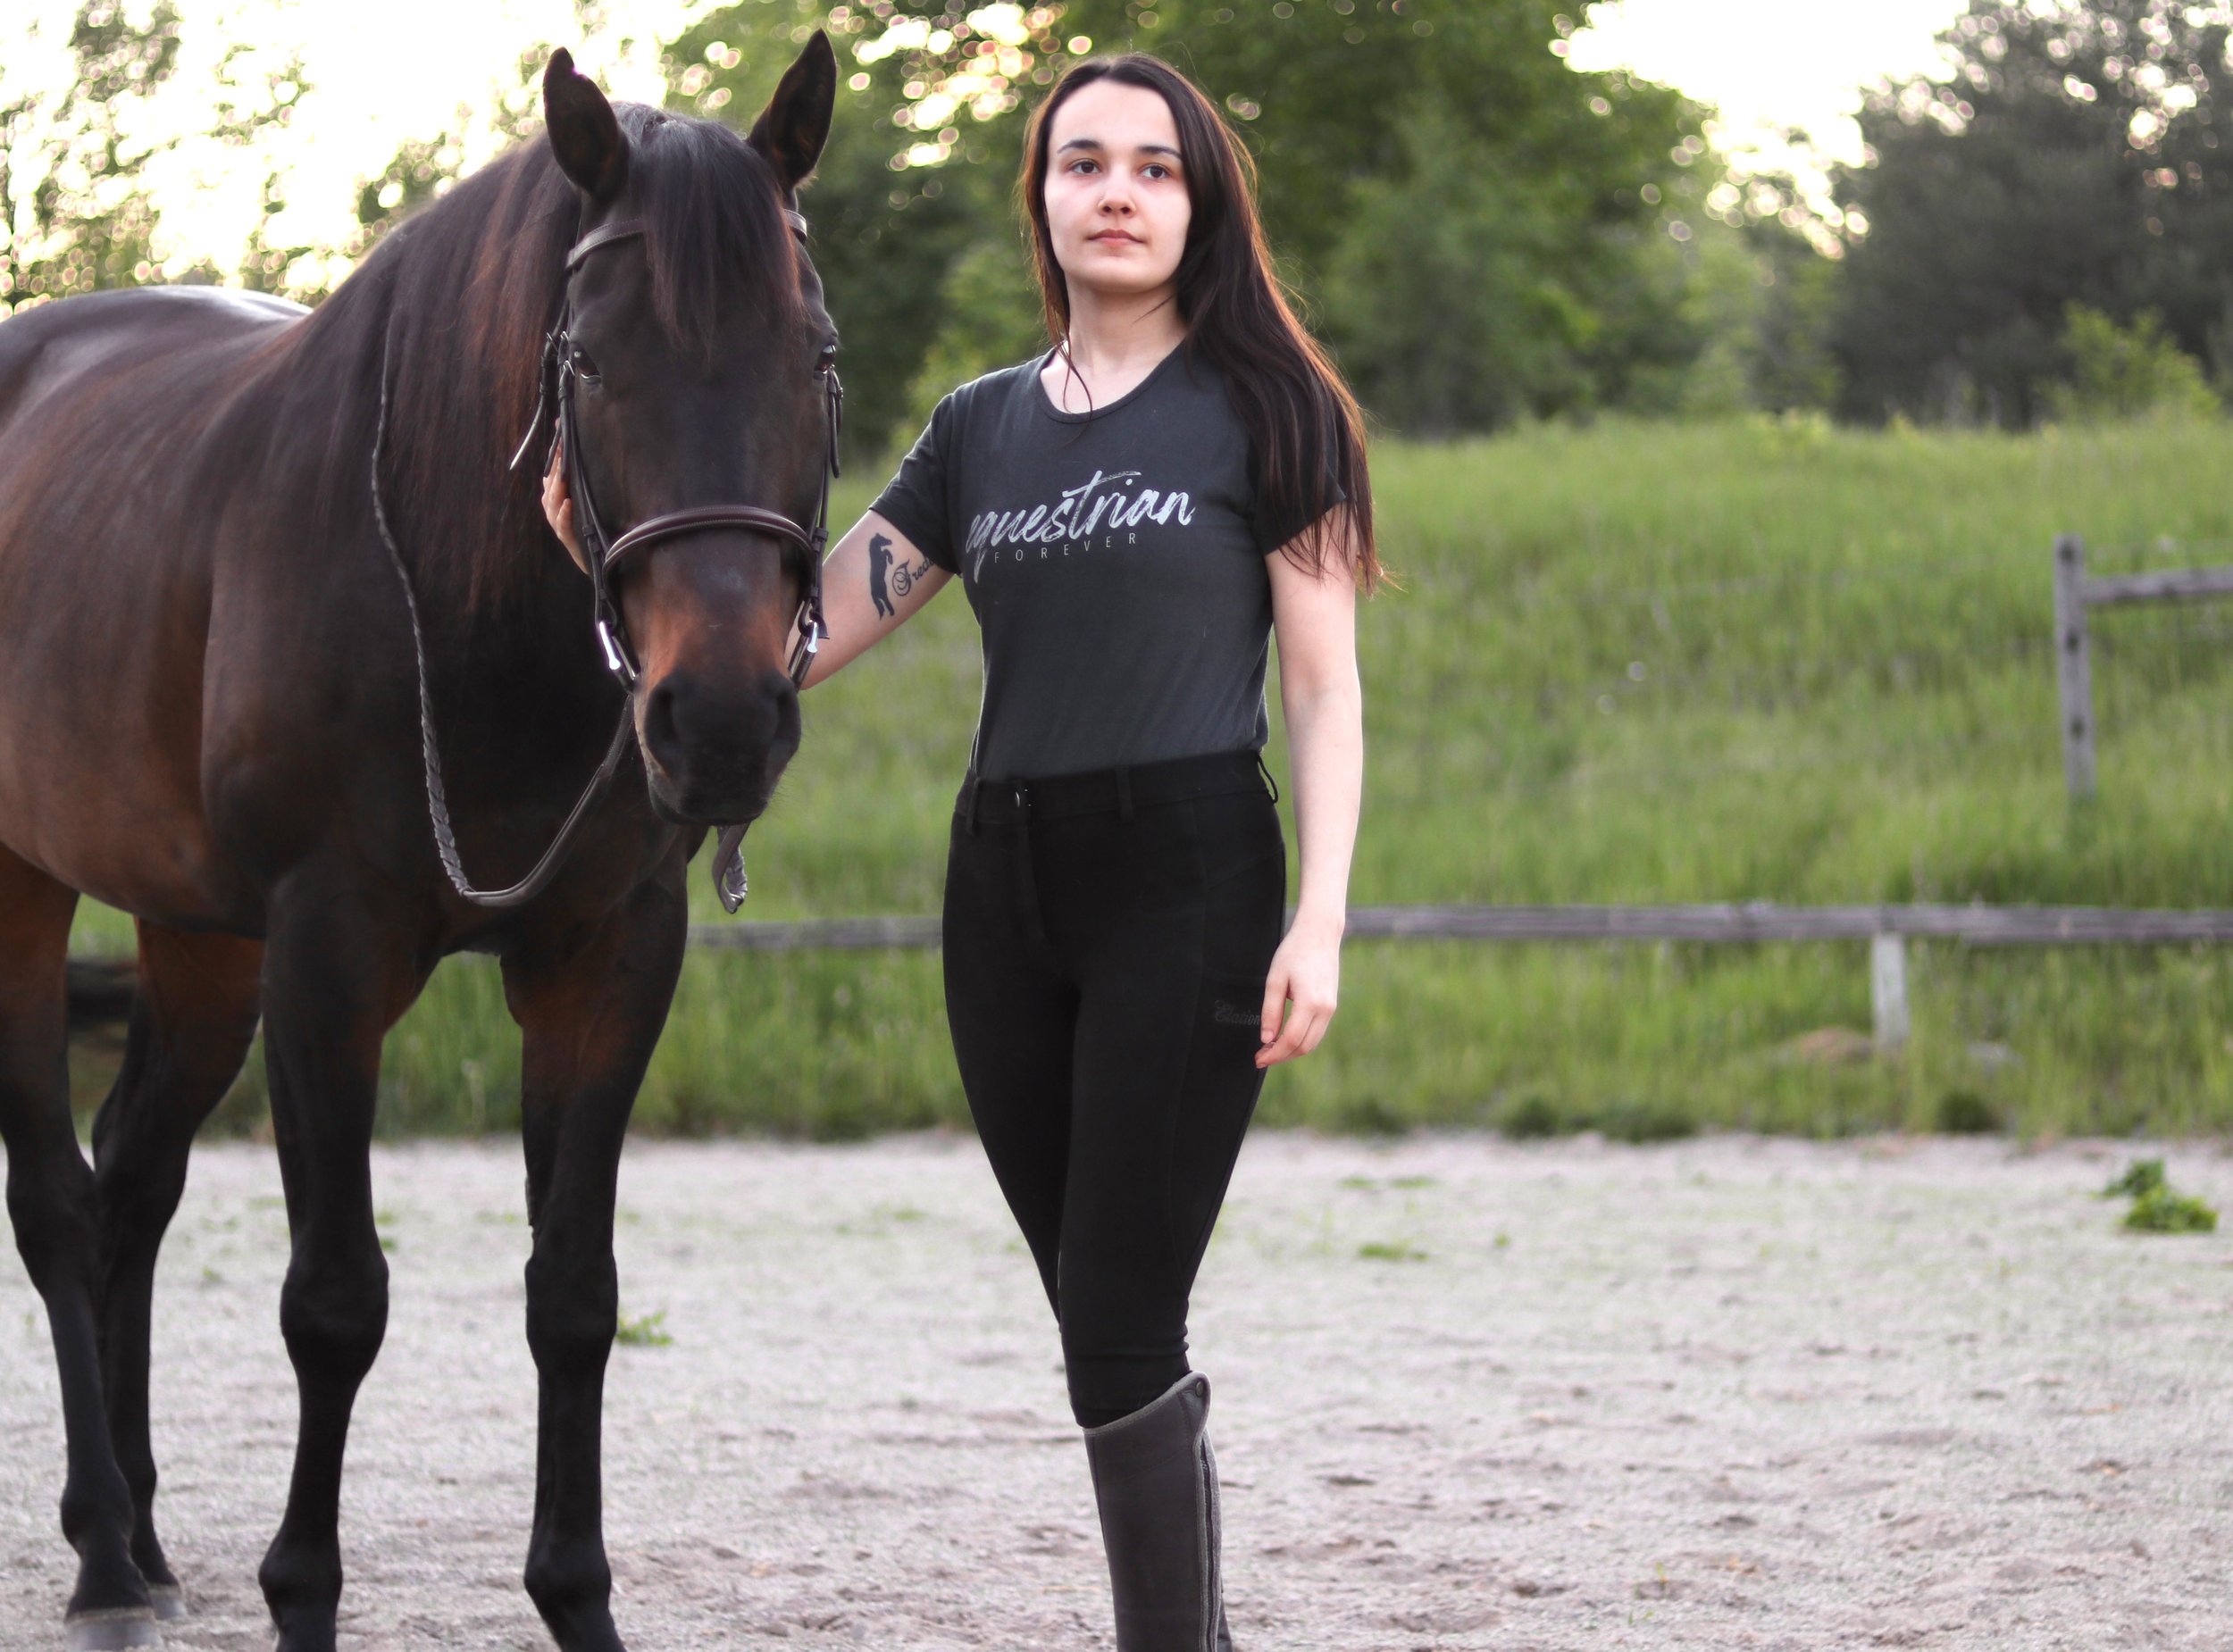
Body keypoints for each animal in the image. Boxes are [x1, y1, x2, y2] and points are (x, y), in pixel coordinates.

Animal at [0, 36, 839, 1652]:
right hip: (23, 891)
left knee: (133, 1180)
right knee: (61, 1205)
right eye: (592, 362)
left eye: (814, 357)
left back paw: (143, 1536)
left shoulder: (606, 959)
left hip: (199, 936)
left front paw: (578, 1599)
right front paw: (302, 1596)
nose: (717, 721)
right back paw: (100, 1556)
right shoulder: (328, 958)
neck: (472, 619)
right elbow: (335, 1302)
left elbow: (574, 1293)